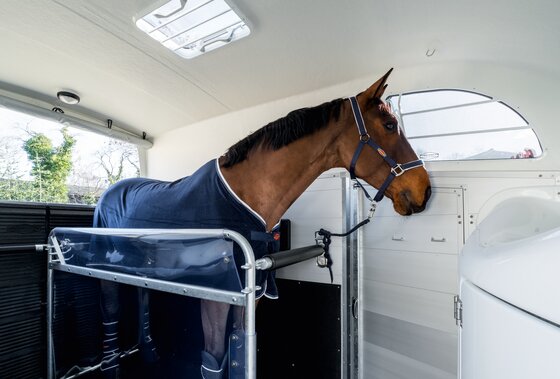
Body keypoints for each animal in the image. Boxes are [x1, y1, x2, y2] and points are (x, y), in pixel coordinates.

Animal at [94, 70, 430, 378]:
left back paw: (149, 352)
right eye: (389, 125)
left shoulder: (252, 294)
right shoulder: (217, 298)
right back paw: (111, 367)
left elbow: (240, 350)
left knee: (142, 297)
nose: (425, 190)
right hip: (106, 269)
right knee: (110, 310)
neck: (245, 195)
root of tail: (109, 192)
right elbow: (214, 362)